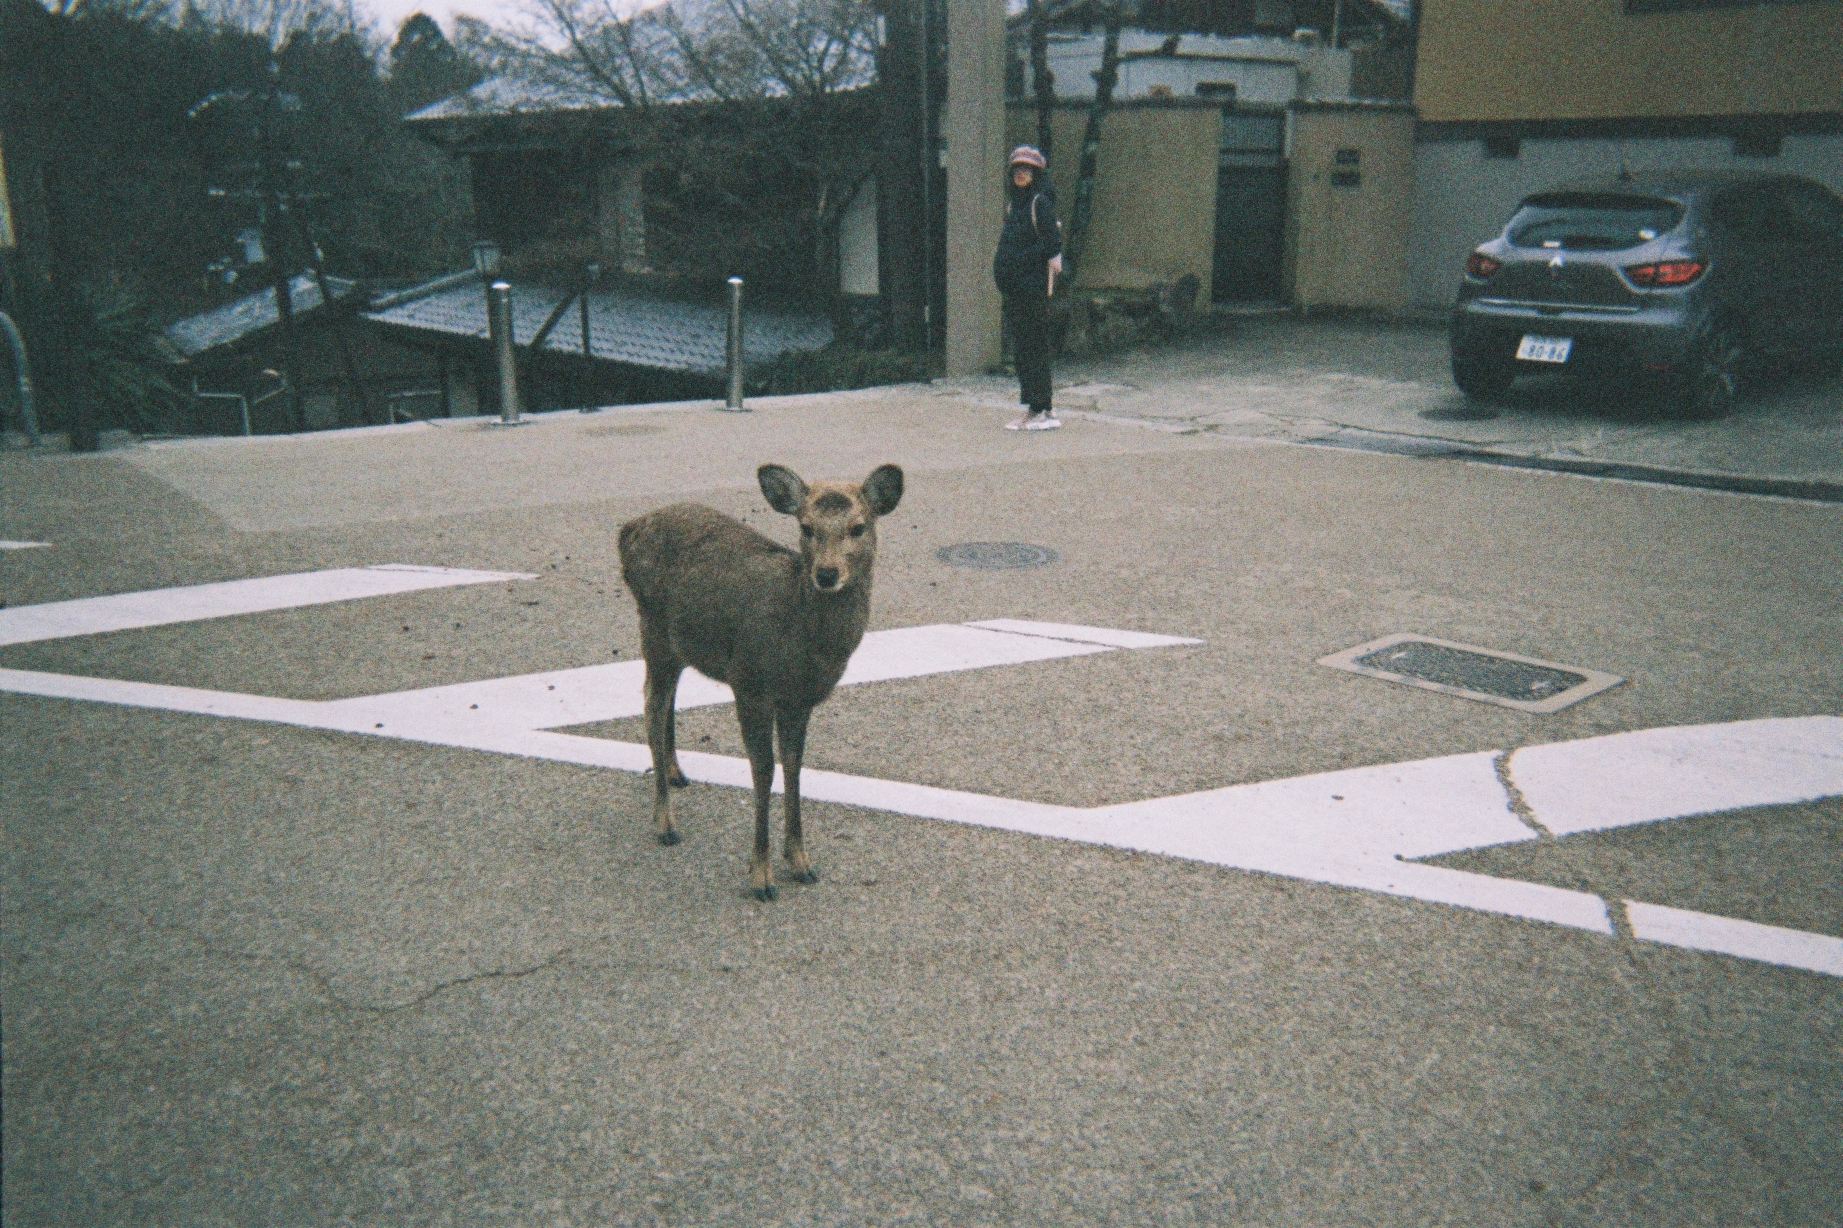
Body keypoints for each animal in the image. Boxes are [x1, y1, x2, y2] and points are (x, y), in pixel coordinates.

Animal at [619, 459, 906, 899]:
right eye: (806, 526)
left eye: (859, 527)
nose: (826, 573)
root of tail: (628, 530)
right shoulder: (749, 682)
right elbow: (763, 770)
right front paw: (761, 876)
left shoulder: (799, 700)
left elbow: (794, 765)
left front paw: (801, 861)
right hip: (653, 628)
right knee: (651, 704)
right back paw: (665, 823)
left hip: (682, 643)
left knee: (668, 700)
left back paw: (675, 772)